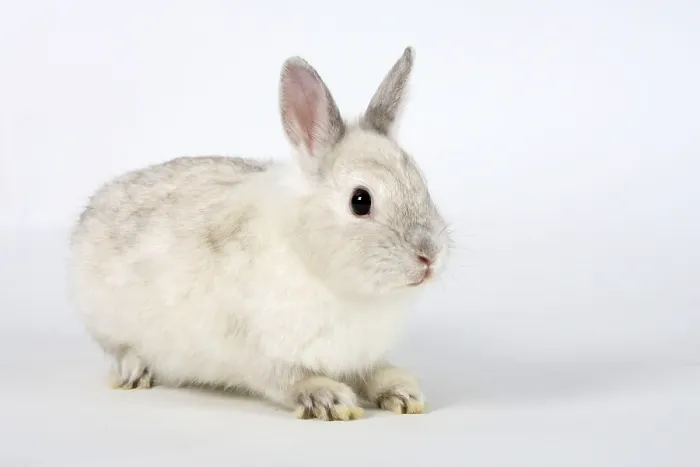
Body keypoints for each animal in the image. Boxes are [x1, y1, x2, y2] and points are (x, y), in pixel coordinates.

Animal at [69, 46, 452, 421]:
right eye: (360, 201)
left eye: (422, 183)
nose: (429, 257)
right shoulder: (263, 354)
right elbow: (291, 380)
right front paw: (328, 398)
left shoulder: (361, 355)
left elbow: (374, 372)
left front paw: (402, 392)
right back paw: (136, 372)